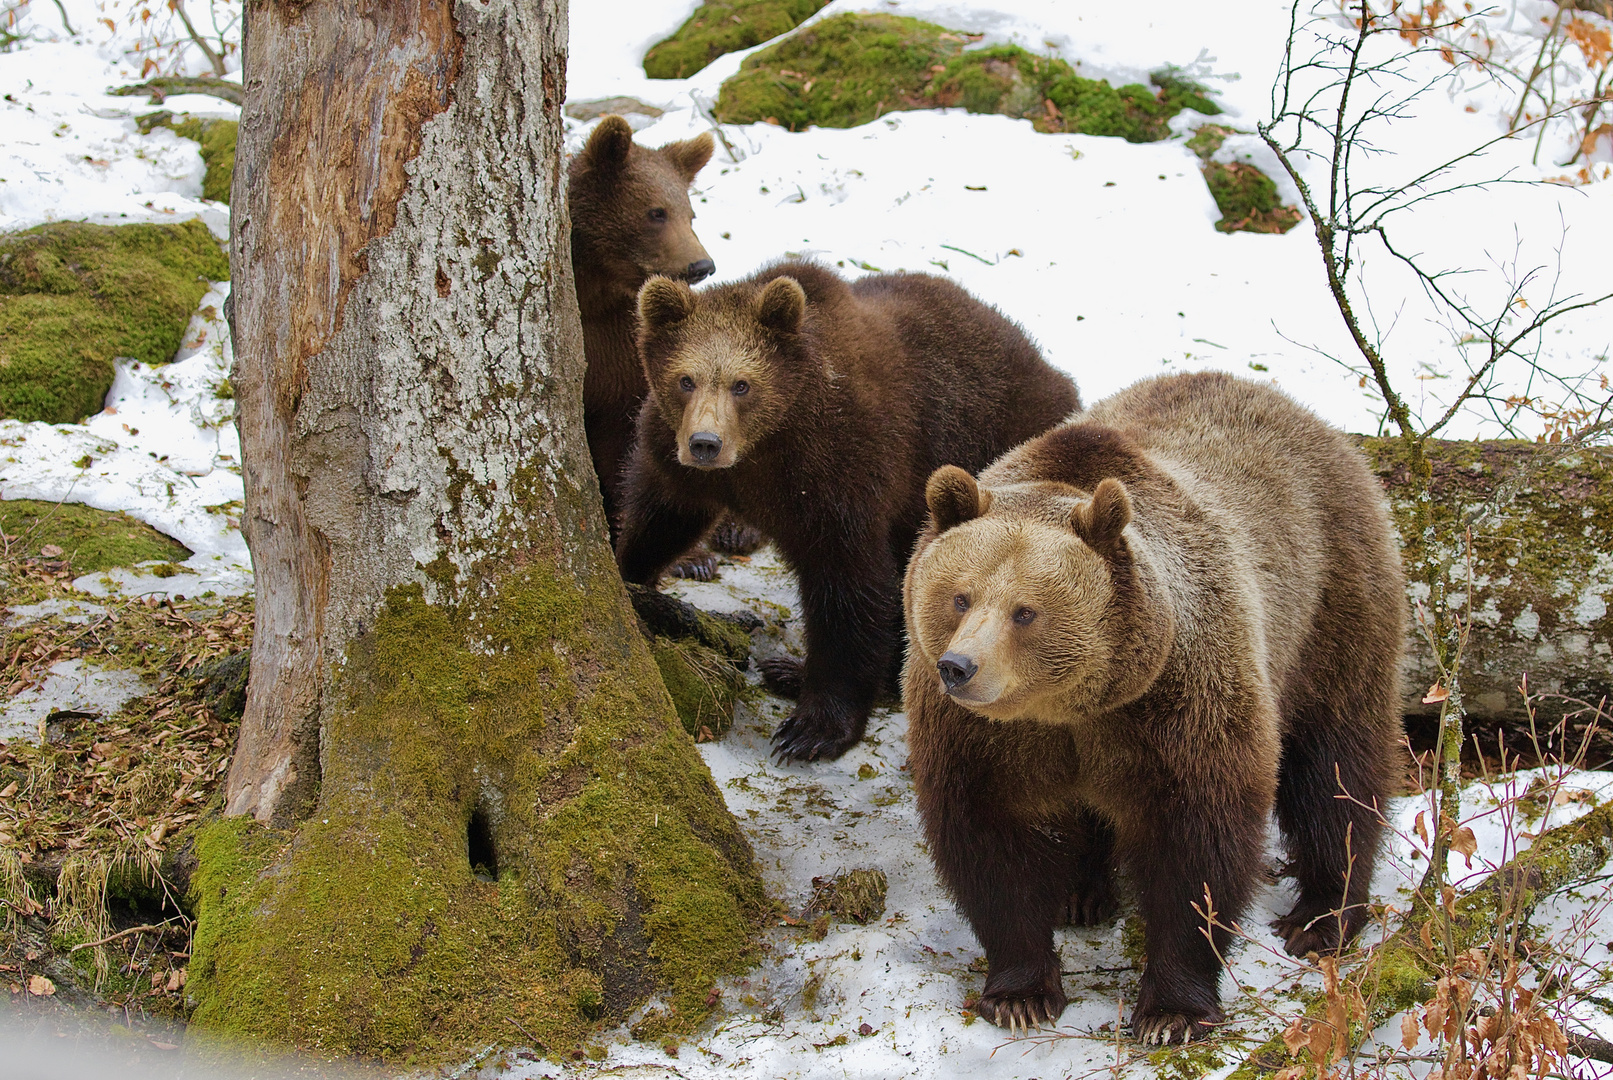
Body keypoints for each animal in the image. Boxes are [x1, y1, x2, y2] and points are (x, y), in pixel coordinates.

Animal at [616, 262, 1083, 767]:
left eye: (742, 384)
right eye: (686, 379)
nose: (705, 443)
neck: (763, 451)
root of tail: (1050, 371)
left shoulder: (841, 469)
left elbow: (849, 584)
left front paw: (811, 729)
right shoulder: (680, 463)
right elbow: (658, 517)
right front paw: (633, 579)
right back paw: (789, 669)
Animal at [909, 373, 1412, 1050]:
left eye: (1025, 611)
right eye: (959, 596)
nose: (959, 668)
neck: (1071, 705)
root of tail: (1306, 416)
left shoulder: (1179, 700)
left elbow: (1195, 845)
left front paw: (1171, 1011)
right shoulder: (983, 737)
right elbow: (990, 838)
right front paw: (1020, 993)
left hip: (1332, 608)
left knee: (1337, 765)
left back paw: (1321, 915)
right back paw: (1082, 894)